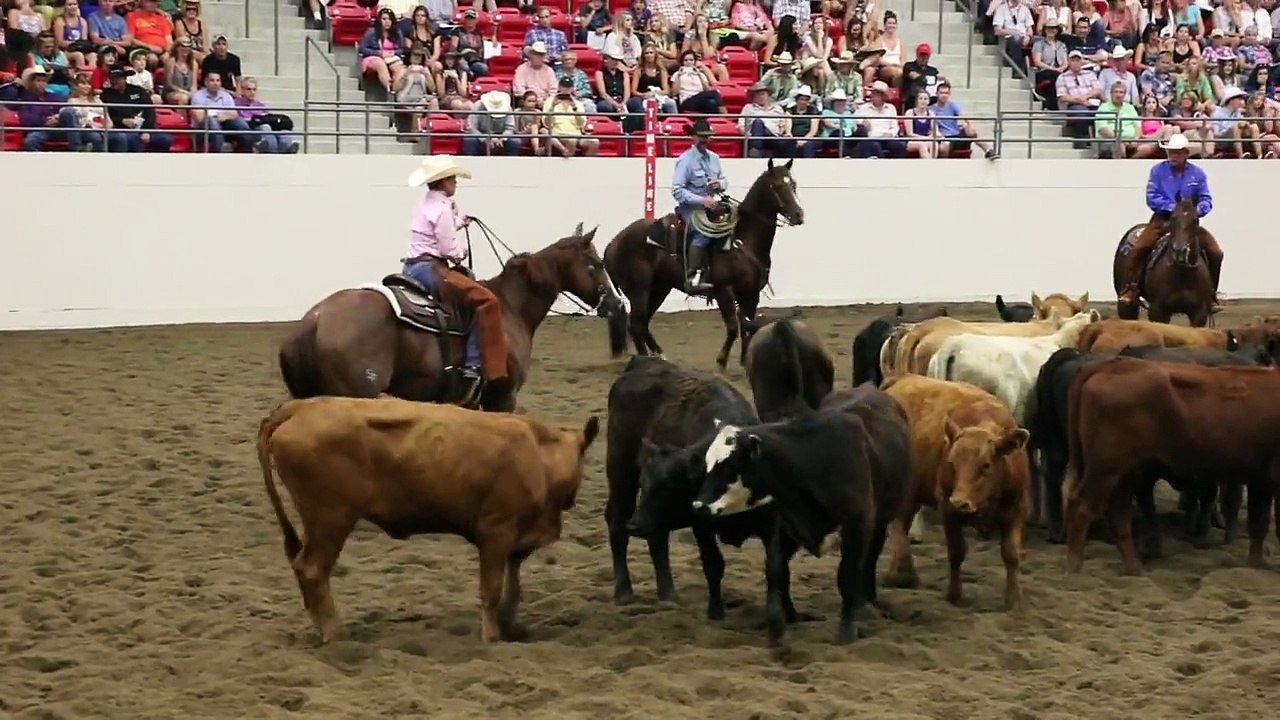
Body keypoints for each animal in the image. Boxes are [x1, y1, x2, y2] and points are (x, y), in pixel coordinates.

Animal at [602, 158, 806, 370]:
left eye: (793, 184)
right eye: (777, 186)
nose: (798, 215)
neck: (742, 241)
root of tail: (613, 243)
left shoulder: (751, 294)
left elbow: (747, 328)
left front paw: (746, 361)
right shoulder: (724, 291)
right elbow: (733, 328)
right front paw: (721, 362)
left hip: (659, 288)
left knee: (642, 324)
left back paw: (660, 356)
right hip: (639, 291)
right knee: (636, 325)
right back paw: (645, 359)